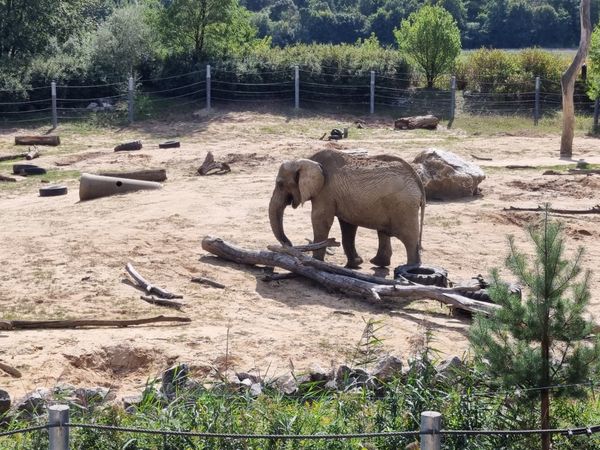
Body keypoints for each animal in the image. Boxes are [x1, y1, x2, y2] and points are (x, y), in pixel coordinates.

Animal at [270, 149, 424, 268]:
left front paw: (315, 262)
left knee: (408, 238)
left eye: (280, 184)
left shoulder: (326, 192)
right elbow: (347, 225)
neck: (306, 160)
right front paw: (355, 264)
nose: (289, 244)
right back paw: (379, 263)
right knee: (383, 232)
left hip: (404, 207)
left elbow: (321, 220)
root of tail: (417, 180)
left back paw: (410, 268)